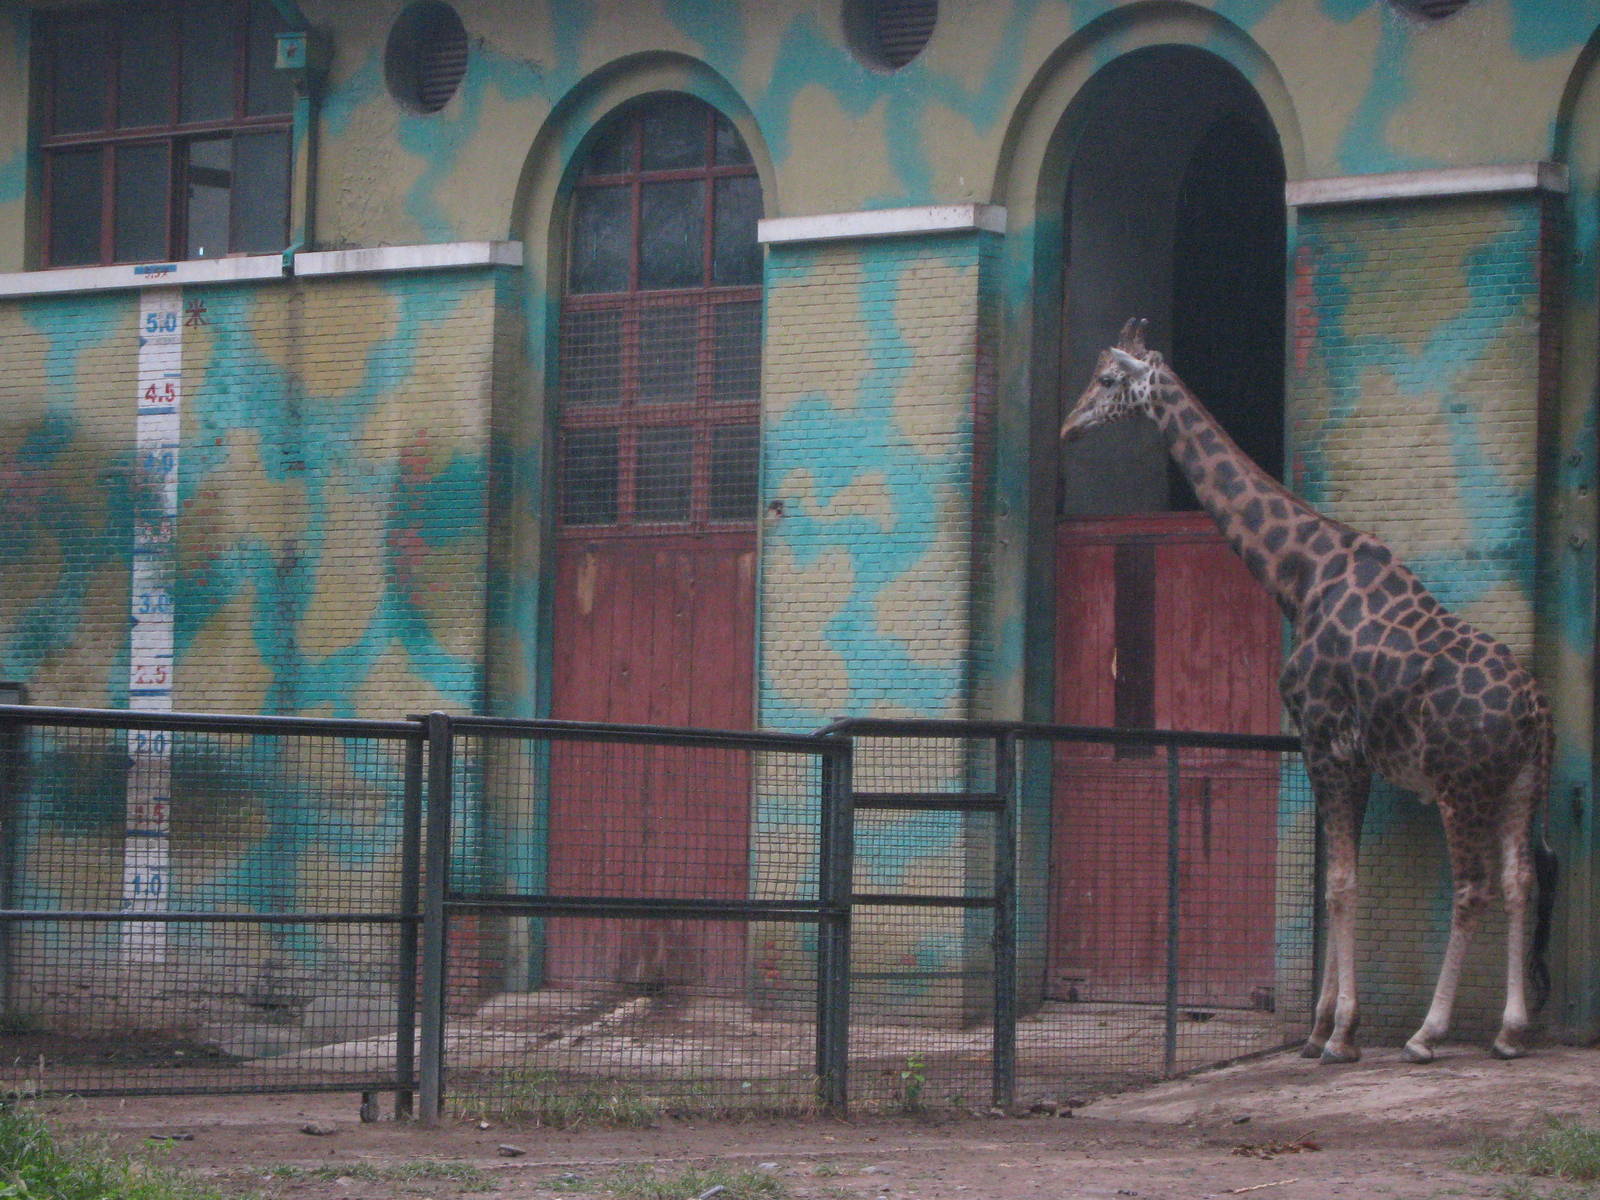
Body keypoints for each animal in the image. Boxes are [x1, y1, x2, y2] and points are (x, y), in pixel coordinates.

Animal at [1060, 318, 1558, 1064]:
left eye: (1109, 379)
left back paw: (1427, 1032)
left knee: (1473, 889)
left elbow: (1342, 887)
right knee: (1521, 880)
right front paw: (1323, 1027)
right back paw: (1510, 1030)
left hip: (1460, 784)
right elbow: (1335, 884)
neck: (1297, 575)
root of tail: (1537, 713)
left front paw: (1341, 1034)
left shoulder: (1324, 742)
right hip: (1521, 783)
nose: (1067, 427)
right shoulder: (1346, 757)